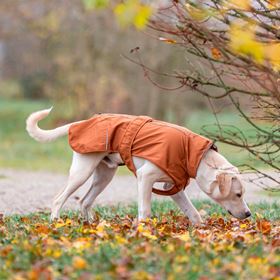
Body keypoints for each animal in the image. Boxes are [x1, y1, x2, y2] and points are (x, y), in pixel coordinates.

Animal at [25, 108, 250, 224]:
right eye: (238, 194)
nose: (248, 214)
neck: (194, 154)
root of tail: (80, 123)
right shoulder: (145, 177)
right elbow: (146, 210)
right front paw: (143, 232)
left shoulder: (173, 188)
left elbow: (193, 212)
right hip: (82, 172)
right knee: (58, 199)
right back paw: (56, 223)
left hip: (104, 177)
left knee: (85, 202)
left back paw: (90, 225)